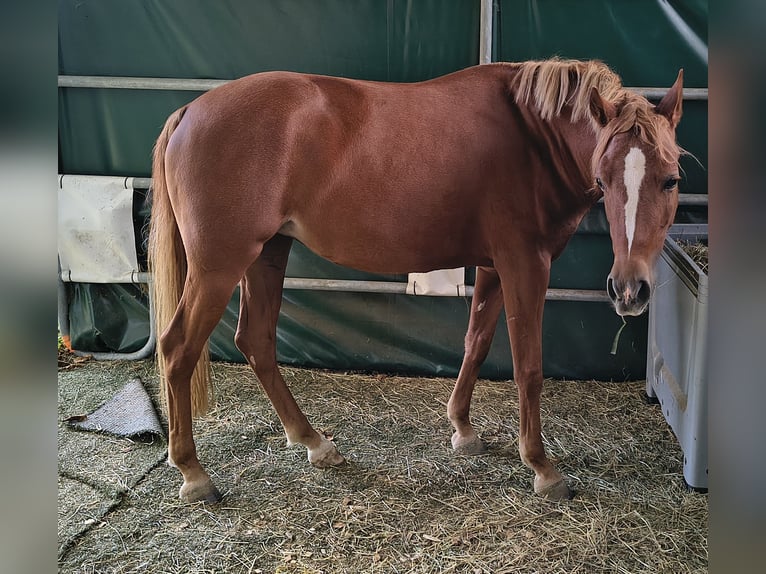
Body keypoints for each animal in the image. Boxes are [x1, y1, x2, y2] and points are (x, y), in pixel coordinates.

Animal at [148, 58, 684, 503]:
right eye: (604, 176)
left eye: (671, 178)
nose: (629, 290)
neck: (531, 137)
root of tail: (190, 111)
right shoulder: (525, 264)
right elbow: (528, 367)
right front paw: (542, 467)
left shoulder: (493, 266)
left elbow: (476, 342)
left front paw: (462, 428)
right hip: (219, 266)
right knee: (178, 349)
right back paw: (194, 473)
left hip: (268, 254)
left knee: (255, 340)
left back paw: (314, 443)